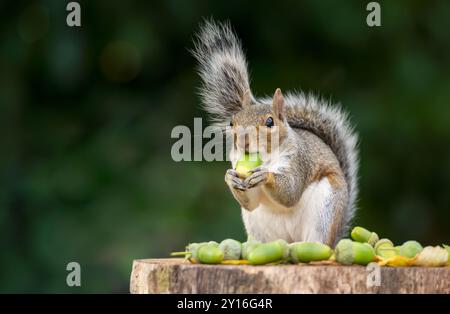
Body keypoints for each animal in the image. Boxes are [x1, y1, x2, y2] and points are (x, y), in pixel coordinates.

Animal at [192, 20, 358, 247]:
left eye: (270, 122)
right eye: (232, 122)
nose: (243, 142)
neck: (266, 158)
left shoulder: (298, 161)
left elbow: (290, 192)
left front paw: (266, 175)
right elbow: (250, 201)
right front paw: (230, 178)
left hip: (326, 210)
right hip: (258, 226)